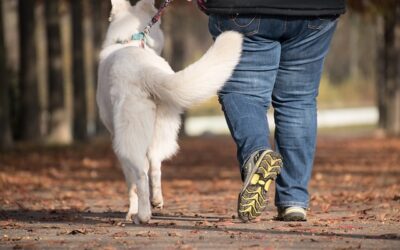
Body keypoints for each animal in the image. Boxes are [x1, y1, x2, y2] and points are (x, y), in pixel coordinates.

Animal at [96, 0, 242, 224]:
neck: (130, 41)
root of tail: (143, 70)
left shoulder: (116, 140)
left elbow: (131, 185)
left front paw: (130, 211)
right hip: (162, 128)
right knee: (155, 165)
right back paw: (156, 201)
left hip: (128, 138)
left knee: (141, 174)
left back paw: (142, 215)